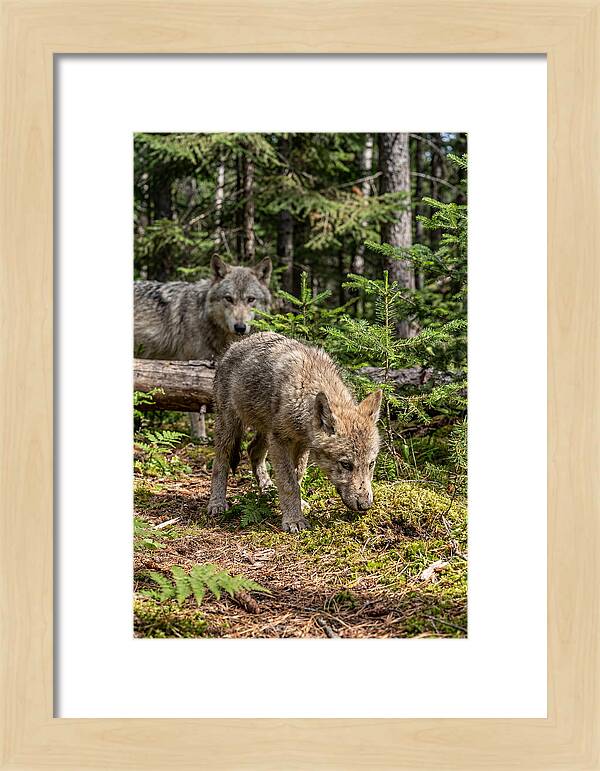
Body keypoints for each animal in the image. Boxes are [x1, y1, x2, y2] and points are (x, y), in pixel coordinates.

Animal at [134, 255, 272, 436]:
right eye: (229, 298)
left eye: (251, 299)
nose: (240, 327)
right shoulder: (191, 368)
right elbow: (196, 409)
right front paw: (200, 437)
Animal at [207, 332, 382, 532]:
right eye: (346, 465)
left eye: (371, 464)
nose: (365, 505)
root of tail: (233, 345)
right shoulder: (281, 441)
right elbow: (288, 482)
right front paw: (293, 520)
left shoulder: (302, 444)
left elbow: (297, 477)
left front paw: (298, 506)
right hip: (230, 427)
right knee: (220, 462)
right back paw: (217, 503)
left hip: (266, 432)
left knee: (252, 450)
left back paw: (267, 489)